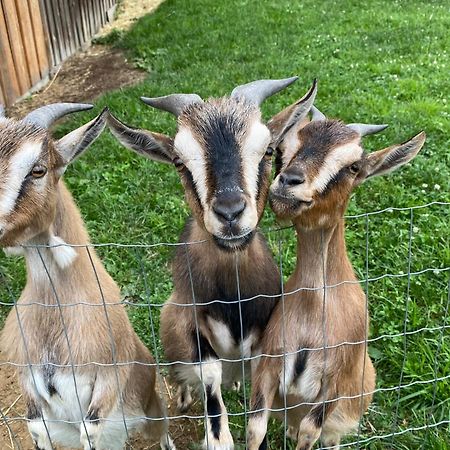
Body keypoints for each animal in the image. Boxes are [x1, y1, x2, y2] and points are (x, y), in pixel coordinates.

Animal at [0, 105, 175, 450]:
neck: (55, 311)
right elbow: (35, 426)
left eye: (38, 170)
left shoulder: (109, 374)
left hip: (152, 413)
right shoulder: (27, 378)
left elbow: (89, 430)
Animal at [107, 79, 320, 448]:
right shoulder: (188, 321)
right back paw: (182, 397)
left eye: (268, 151)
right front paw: (218, 436)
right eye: (178, 162)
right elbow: (209, 375)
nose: (230, 213)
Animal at [246, 103, 426, 450]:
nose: (289, 182)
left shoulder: (334, 387)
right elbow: (256, 428)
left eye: (354, 166)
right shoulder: (267, 367)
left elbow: (309, 433)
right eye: (282, 150)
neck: (314, 307)